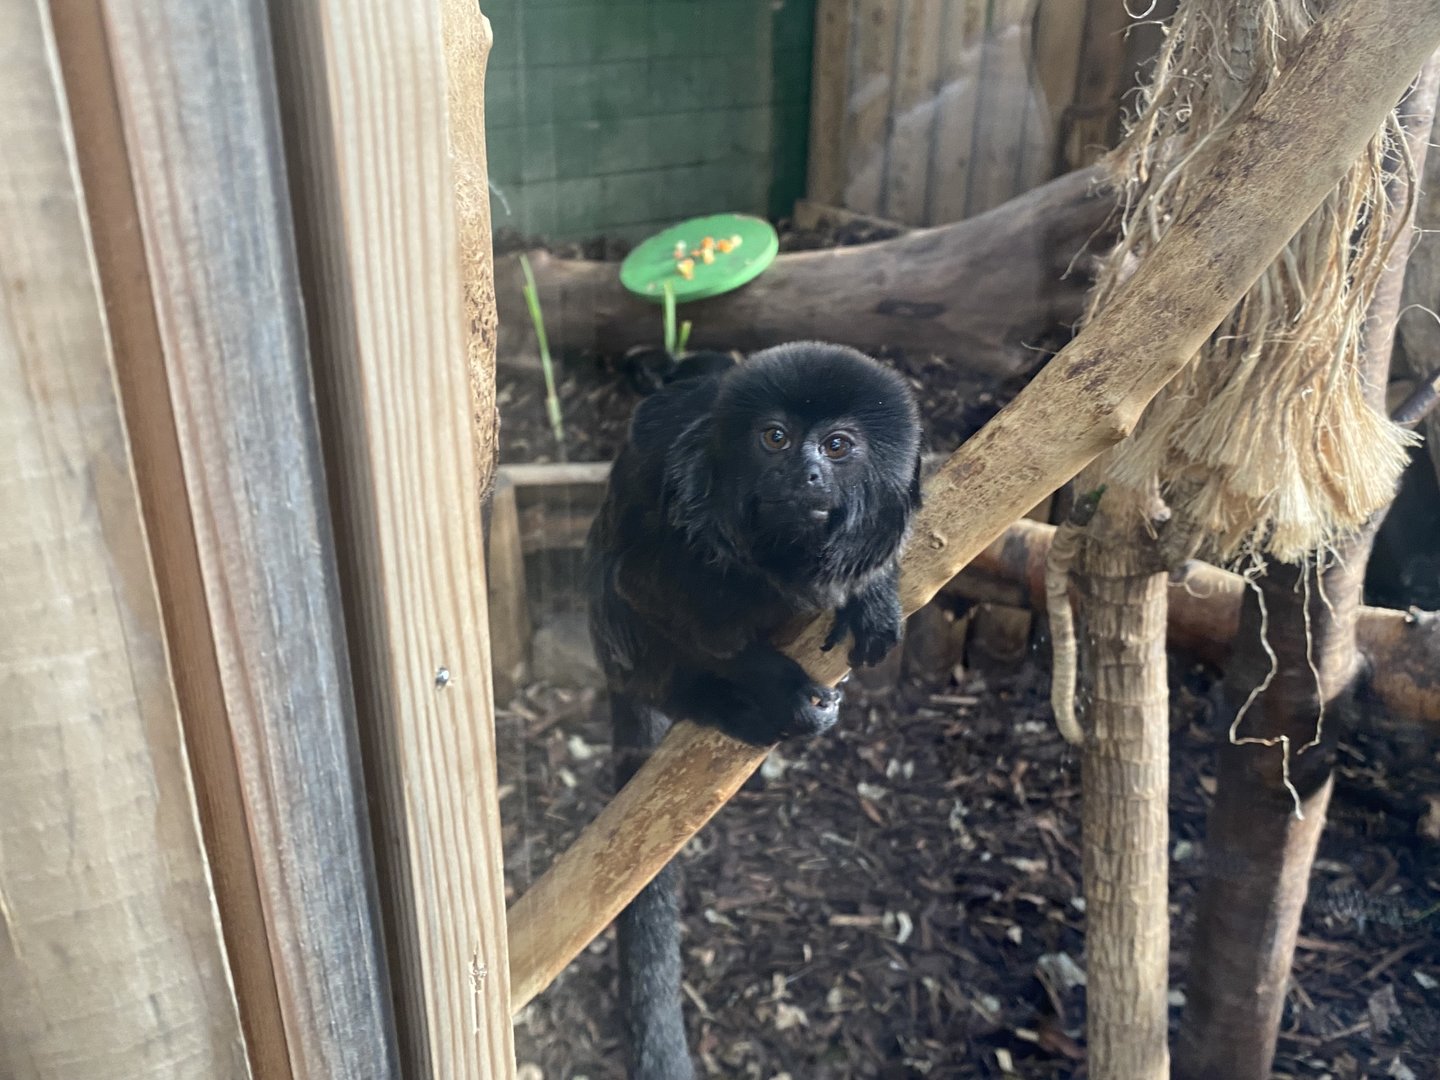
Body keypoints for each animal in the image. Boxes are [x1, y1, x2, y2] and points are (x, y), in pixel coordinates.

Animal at [584, 342, 923, 1080]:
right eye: (775, 438)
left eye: (837, 444)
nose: (806, 471)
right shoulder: (680, 532)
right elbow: (652, 590)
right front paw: (771, 684)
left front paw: (874, 596)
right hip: (623, 648)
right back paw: (732, 707)